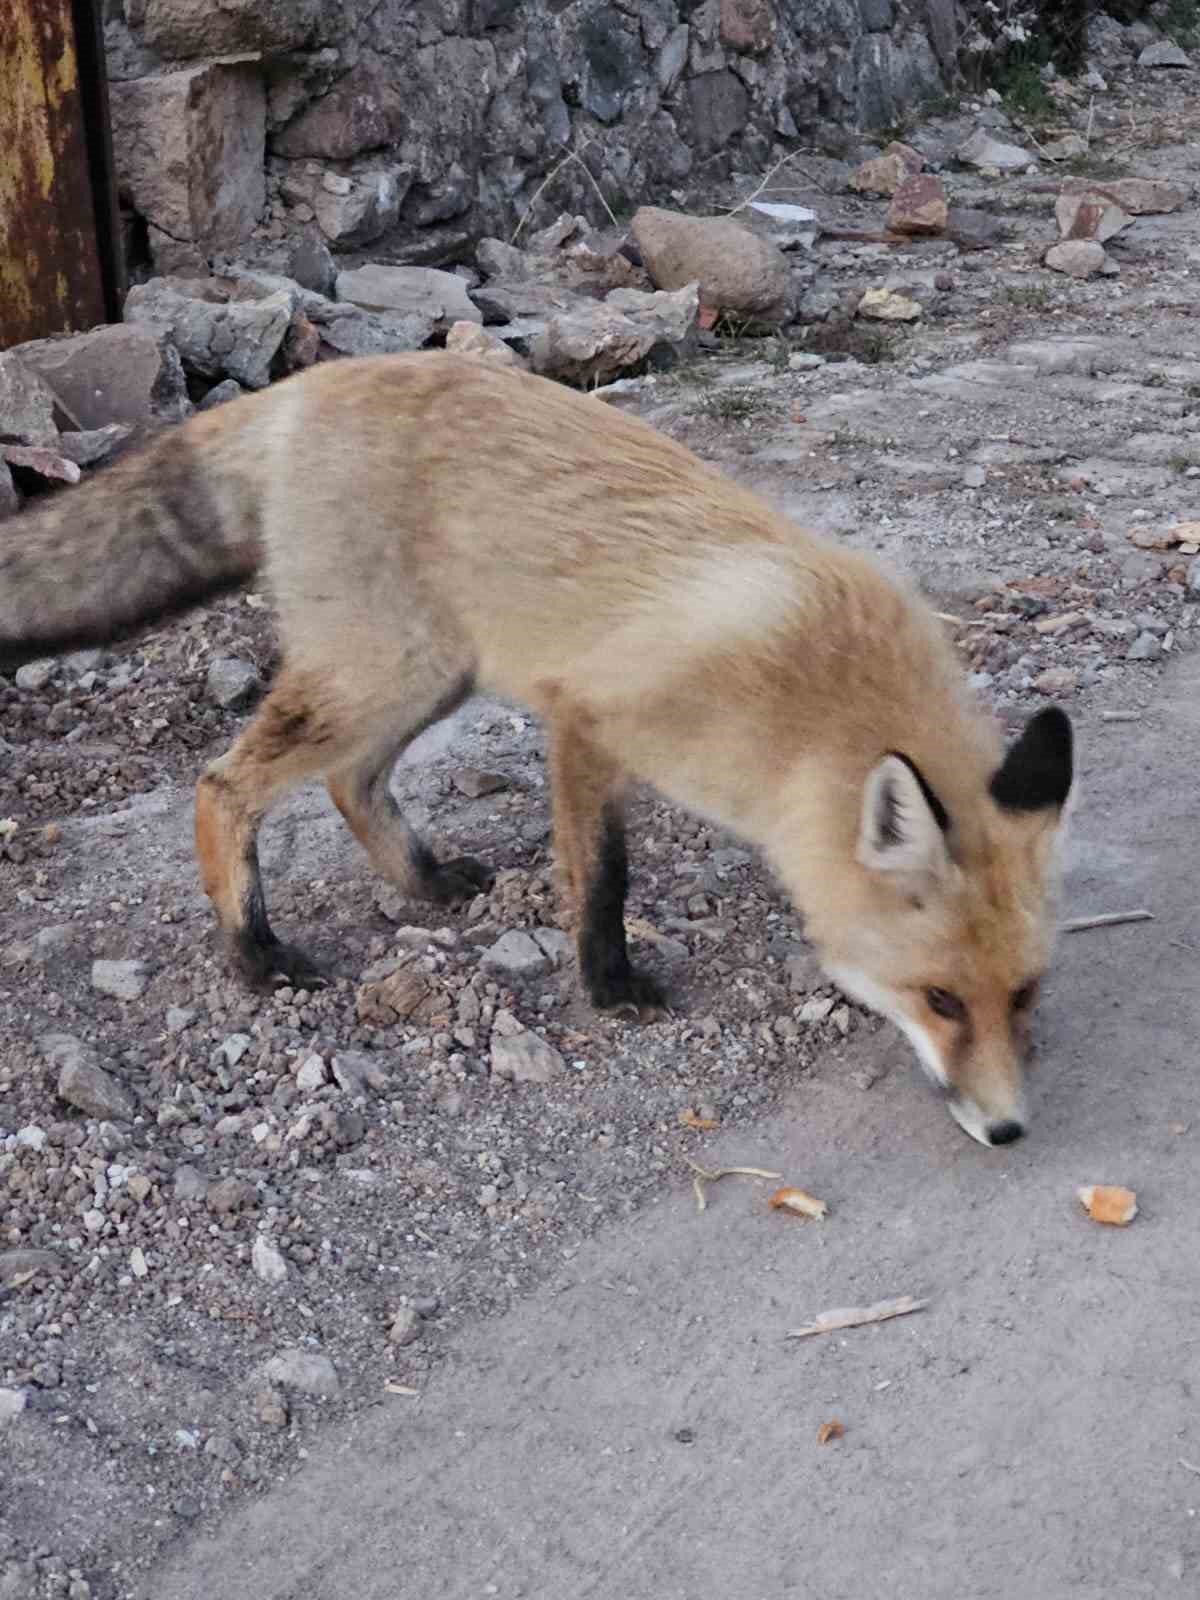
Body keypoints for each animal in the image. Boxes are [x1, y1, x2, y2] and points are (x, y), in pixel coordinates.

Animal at [0, 355, 1068, 1145]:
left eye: (1021, 994)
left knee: (350, 784)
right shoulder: (588, 719)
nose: (1009, 1130)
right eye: (940, 999)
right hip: (383, 672)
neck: (807, 706)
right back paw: (254, 953)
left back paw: (427, 883)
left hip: (434, 673)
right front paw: (610, 986)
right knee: (223, 785)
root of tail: (313, 381)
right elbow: (602, 876)